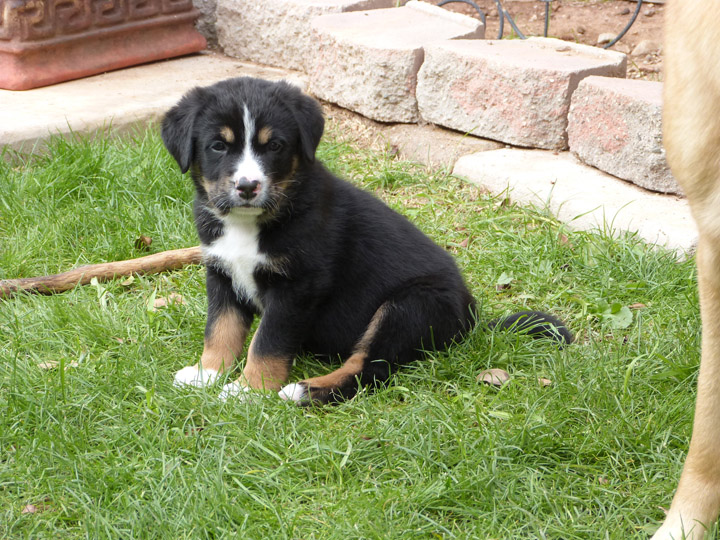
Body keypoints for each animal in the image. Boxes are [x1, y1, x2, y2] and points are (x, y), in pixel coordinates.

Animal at [160, 78, 572, 402]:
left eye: (274, 146)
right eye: (218, 146)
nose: (247, 186)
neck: (248, 225)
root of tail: (471, 320)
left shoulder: (297, 287)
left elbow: (267, 342)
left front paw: (248, 390)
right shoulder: (222, 273)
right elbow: (220, 330)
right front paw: (206, 374)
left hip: (407, 306)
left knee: (371, 368)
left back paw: (305, 390)